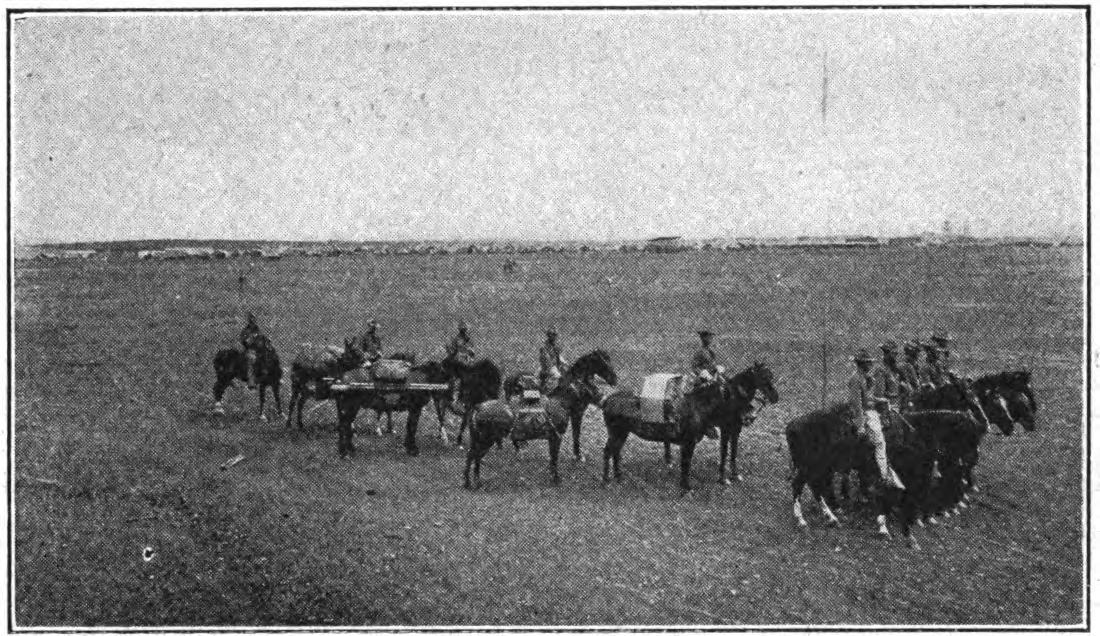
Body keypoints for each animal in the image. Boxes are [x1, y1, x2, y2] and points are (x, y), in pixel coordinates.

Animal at [459, 352, 611, 484]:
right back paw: (471, 481)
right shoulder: (556, 437)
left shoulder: (553, 437)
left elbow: (553, 458)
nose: (612, 381)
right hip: (485, 439)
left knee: (474, 456)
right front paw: (557, 478)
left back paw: (473, 481)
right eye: (604, 362)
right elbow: (555, 459)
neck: (560, 401)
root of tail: (477, 408)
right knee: (474, 456)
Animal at [602, 360, 783, 490]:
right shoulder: (711, 434)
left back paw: (619, 477)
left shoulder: (734, 430)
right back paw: (607, 480)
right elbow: (716, 454)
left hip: (622, 433)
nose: (775, 396)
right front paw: (718, 480)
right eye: (764, 377)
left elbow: (732, 452)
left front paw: (734, 475)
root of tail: (608, 400)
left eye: (771, 376)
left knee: (616, 452)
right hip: (617, 433)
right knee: (609, 451)